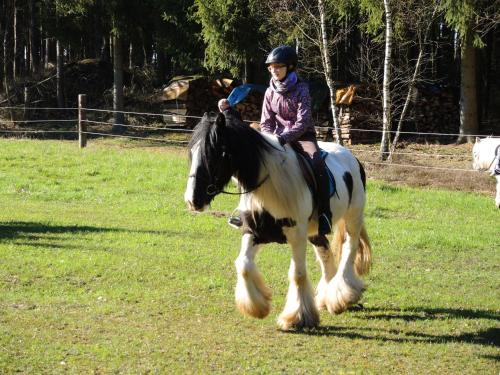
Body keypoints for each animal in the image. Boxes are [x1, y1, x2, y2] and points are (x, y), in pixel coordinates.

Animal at [184, 113, 372, 330]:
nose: (192, 200)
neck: (270, 184)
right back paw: (327, 297)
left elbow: (298, 274)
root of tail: (352, 158)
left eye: (215, 154)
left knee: (349, 249)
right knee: (325, 254)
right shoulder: (254, 232)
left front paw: (297, 317)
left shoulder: (297, 235)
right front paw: (257, 306)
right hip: (315, 230)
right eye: (192, 153)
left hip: (353, 218)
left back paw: (343, 295)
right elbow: (243, 264)